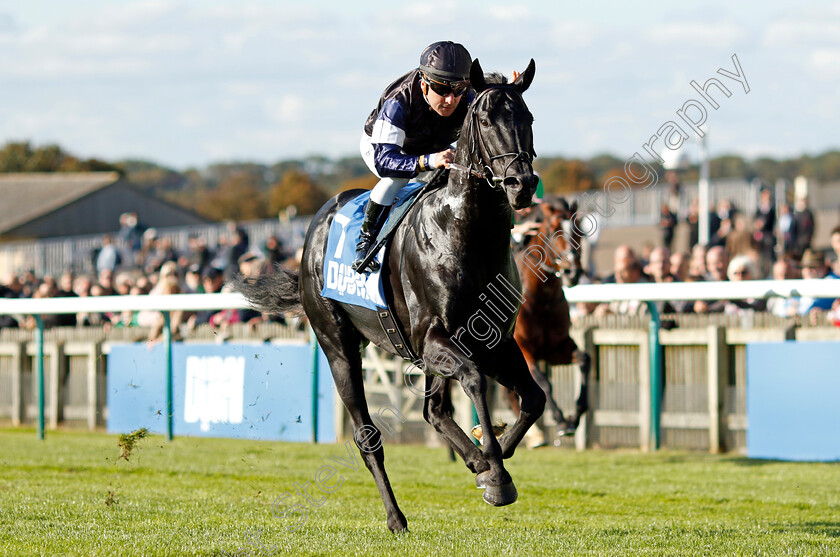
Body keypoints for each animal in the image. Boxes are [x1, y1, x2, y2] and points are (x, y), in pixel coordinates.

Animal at [241, 58, 544, 532]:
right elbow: (475, 381)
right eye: (484, 120)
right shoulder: (433, 339)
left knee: (434, 411)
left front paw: (493, 458)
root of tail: (314, 231)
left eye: (527, 118)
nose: (521, 183)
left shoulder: (492, 339)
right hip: (338, 346)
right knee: (368, 437)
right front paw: (493, 470)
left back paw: (472, 461)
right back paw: (396, 517)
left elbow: (533, 399)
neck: (466, 235)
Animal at [512, 195, 592, 444]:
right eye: (553, 229)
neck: (541, 300)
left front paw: (575, 416)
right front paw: (562, 422)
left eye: (579, 229)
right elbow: (544, 382)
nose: (572, 272)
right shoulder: (524, 349)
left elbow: (584, 359)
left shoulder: (555, 348)